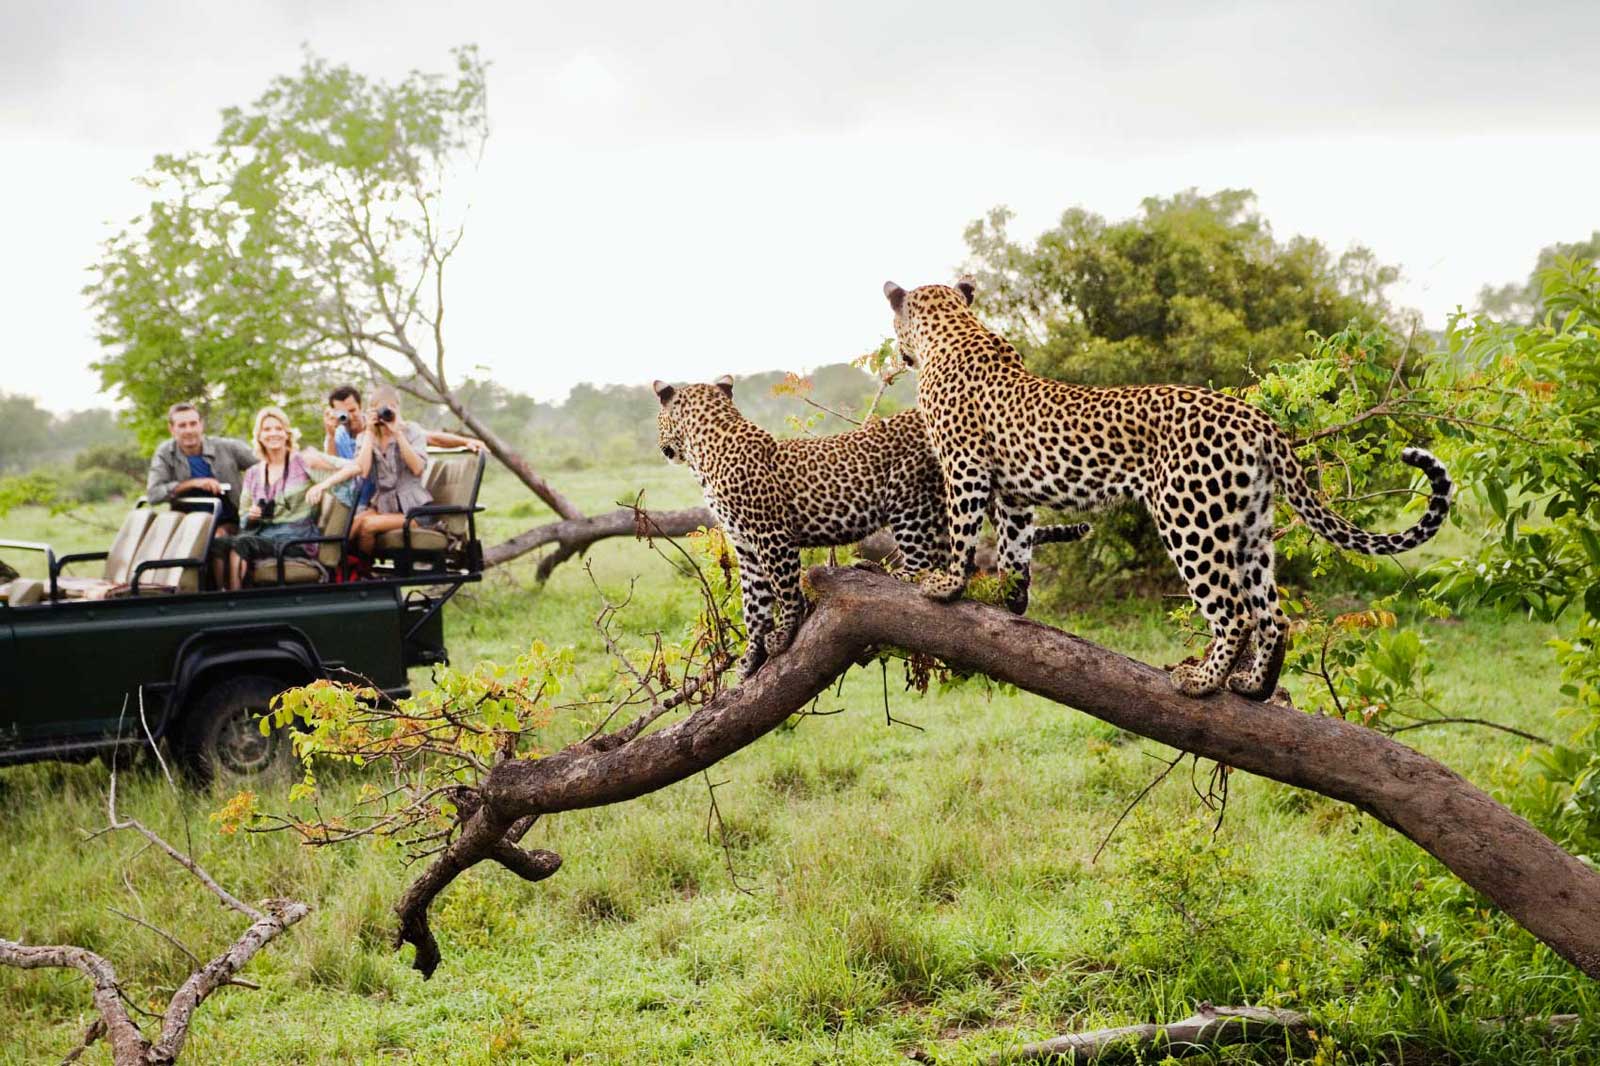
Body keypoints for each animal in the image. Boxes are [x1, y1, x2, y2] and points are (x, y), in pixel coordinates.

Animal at [649, 372, 1088, 672]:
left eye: (658, 420)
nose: (661, 447)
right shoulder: (745, 544)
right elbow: (753, 603)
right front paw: (751, 657)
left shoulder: (772, 535)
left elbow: (786, 591)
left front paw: (785, 633)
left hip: (910, 500)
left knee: (922, 564)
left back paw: (884, 572)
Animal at [883, 278, 1459, 701]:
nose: (899, 353)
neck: (954, 329)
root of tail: (1259, 420)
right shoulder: (1015, 493)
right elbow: (1015, 547)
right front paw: (1011, 600)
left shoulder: (965, 466)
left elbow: (963, 531)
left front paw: (946, 586)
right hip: (1250, 526)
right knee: (1273, 615)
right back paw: (1253, 686)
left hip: (1190, 518)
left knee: (1235, 612)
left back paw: (1202, 682)